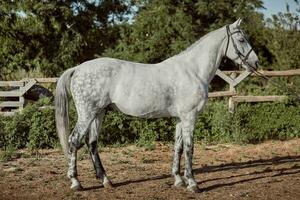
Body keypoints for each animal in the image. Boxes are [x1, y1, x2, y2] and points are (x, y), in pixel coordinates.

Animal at [55, 18, 258, 192]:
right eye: (241, 39)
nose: (255, 62)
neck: (193, 71)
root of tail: (78, 68)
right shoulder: (190, 117)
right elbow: (190, 147)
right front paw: (192, 183)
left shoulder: (180, 118)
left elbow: (178, 147)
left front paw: (178, 180)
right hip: (87, 113)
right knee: (74, 141)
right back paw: (76, 182)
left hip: (99, 113)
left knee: (92, 143)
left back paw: (106, 180)